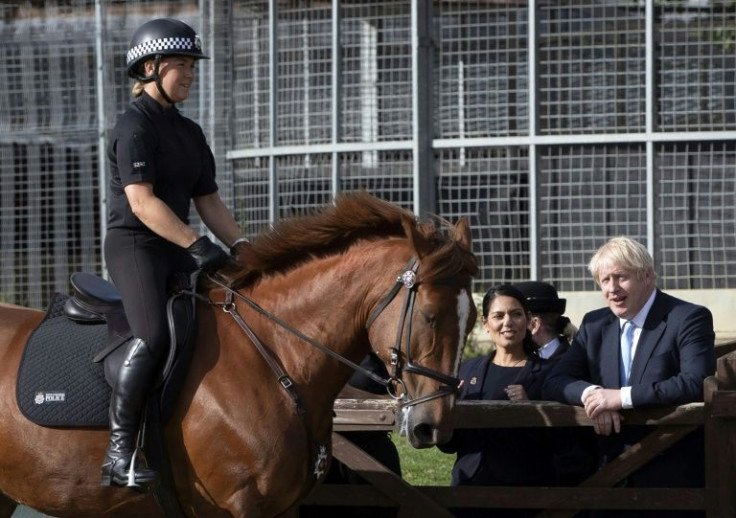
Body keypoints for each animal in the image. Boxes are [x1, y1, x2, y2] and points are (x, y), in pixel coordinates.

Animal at [0, 194, 478, 518]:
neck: (275, 354)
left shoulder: (283, 508)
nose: (433, 427)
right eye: (430, 316)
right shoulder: (237, 505)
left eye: (472, 318)